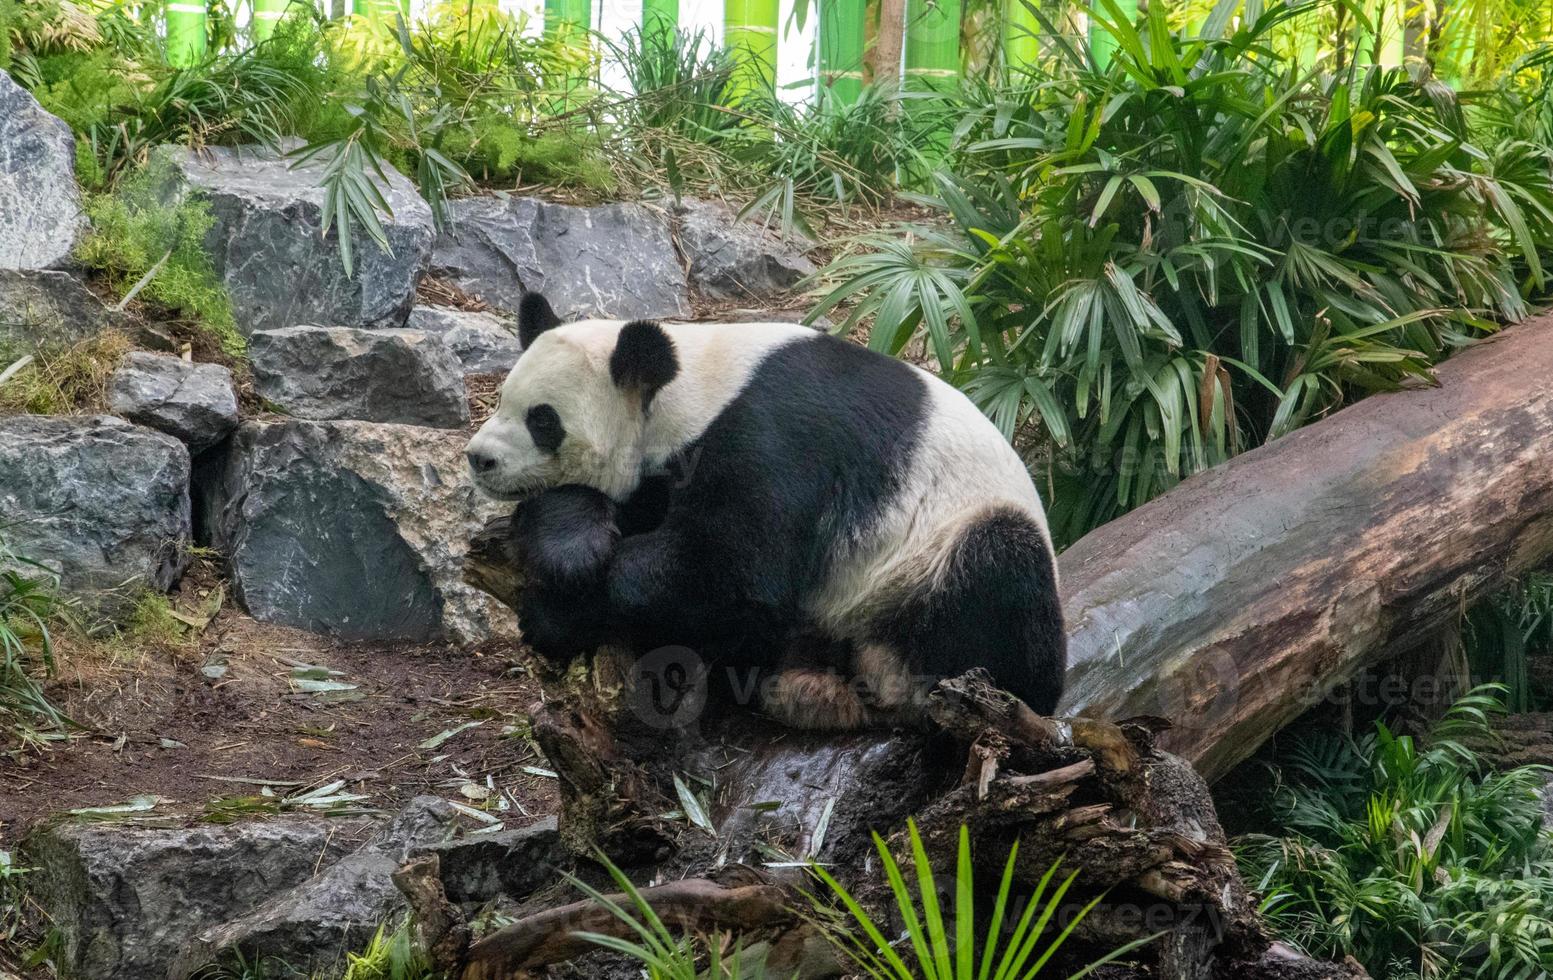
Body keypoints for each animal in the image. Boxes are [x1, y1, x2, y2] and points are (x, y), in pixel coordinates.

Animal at [462, 291, 1068, 729]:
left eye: (543, 420)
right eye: (502, 400)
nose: (478, 458)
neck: (692, 389)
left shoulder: (776, 440)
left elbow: (732, 573)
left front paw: (555, 613)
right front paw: (571, 552)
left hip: (937, 556)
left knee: (999, 572)